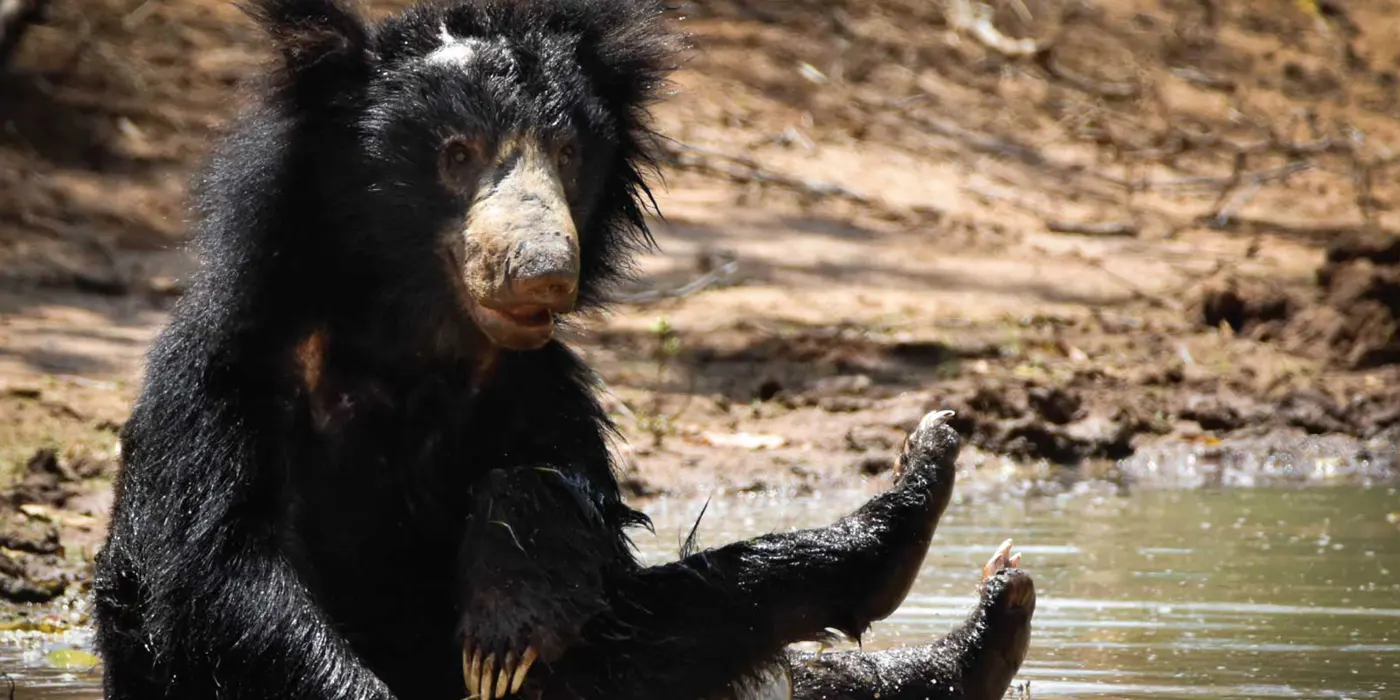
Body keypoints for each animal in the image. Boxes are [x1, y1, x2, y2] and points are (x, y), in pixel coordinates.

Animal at [90, 0, 1030, 697]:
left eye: (569, 153)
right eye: (455, 155)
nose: (544, 273)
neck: (412, 337)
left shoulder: (536, 385)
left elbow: (574, 519)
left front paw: (505, 623)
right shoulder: (226, 377)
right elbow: (227, 570)